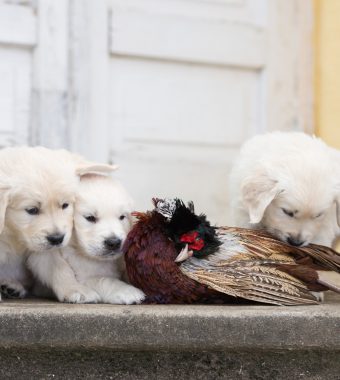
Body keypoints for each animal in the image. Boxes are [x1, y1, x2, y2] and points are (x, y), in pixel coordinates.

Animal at [0, 147, 113, 302]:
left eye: (65, 205)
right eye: (32, 210)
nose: (57, 239)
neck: (13, 232)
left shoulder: (43, 250)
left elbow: (58, 267)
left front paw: (75, 289)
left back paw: (11, 287)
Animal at [29, 176, 145, 306]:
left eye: (122, 217)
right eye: (90, 218)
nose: (114, 242)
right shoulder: (82, 276)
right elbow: (104, 280)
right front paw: (126, 291)